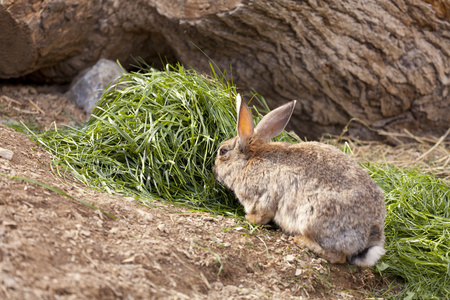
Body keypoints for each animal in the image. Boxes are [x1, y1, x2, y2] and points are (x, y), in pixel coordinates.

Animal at [213, 94, 384, 268]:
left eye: (223, 151)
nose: (214, 171)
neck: (247, 162)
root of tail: (369, 236)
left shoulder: (262, 198)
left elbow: (262, 215)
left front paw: (249, 218)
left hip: (313, 219)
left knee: (337, 256)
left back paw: (301, 240)